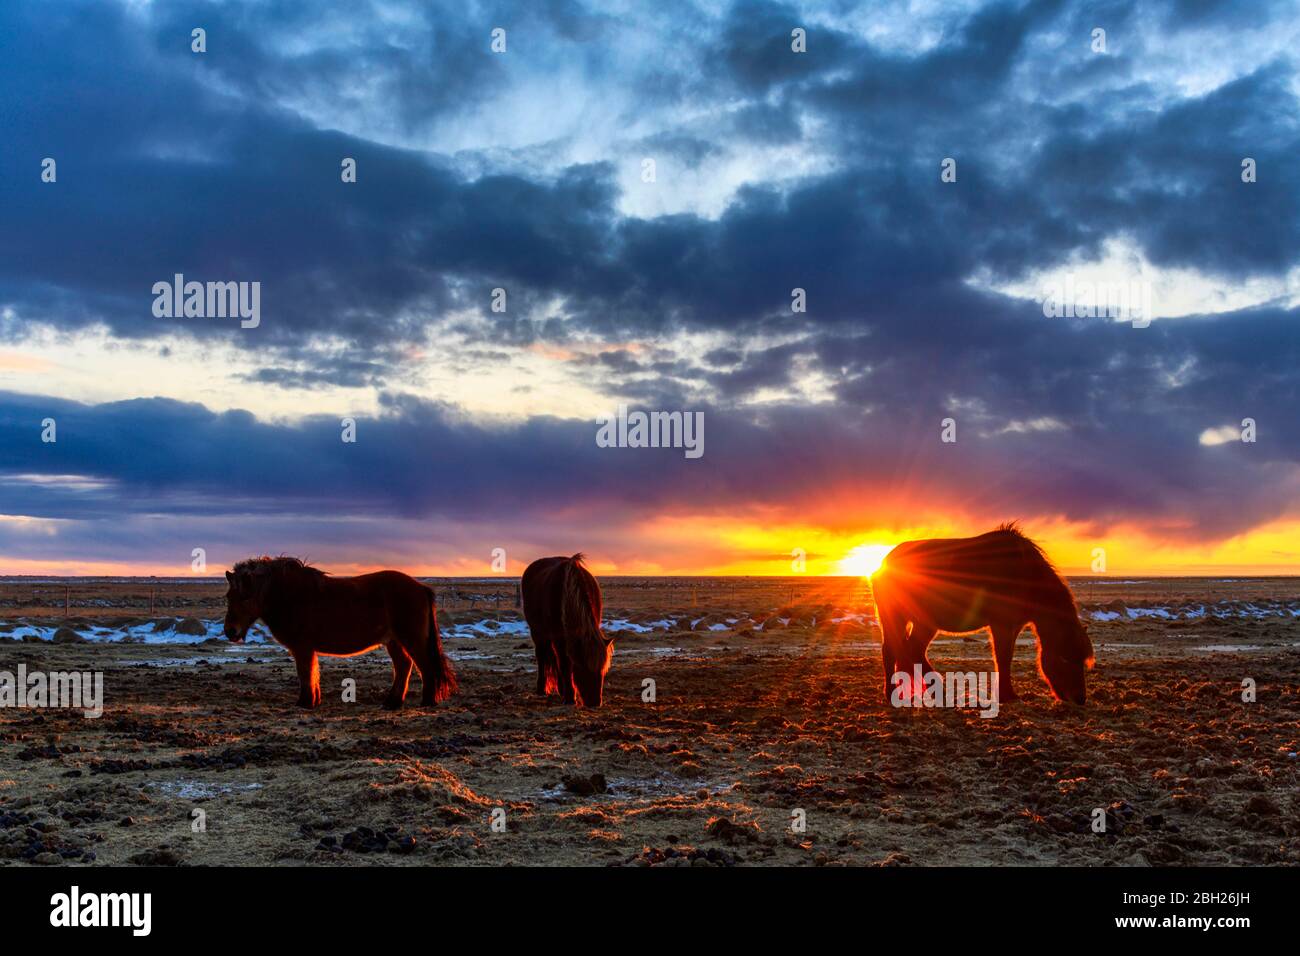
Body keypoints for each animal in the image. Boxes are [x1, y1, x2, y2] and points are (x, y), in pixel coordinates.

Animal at [226, 554, 460, 712]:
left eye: (244, 597)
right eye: (229, 596)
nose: (230, 632)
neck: (291, 597)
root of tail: (420, 587)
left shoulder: (302, 647)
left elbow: (305, 673)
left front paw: (305, 702)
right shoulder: (307, 649)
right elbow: (312, 673)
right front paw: (313, 701)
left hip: (411, 639)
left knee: (425, 667)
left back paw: (427, 701)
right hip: (394, 641)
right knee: (404, 667)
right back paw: (392, 702)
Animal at [520, 556, 611, 707]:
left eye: (602, 670)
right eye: (582, 668)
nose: (595, 703)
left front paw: (566, 692)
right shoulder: (559, 637)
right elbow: (565, 664)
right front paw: (569, 697)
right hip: (538, 632)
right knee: (542, 656)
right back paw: (542, 689)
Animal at [873, 522, 1097, 702]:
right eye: (1065, 658)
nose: (1079, 699)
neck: (1026, 574)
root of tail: (884, 562)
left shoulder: (1013, 626)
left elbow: (1006, 657)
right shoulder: (1001, 625)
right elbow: (1003, 657)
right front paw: (1007, 695)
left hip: (924, 623)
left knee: (911, 650)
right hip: (898, 618)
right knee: (894, 650)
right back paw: (895, 692)